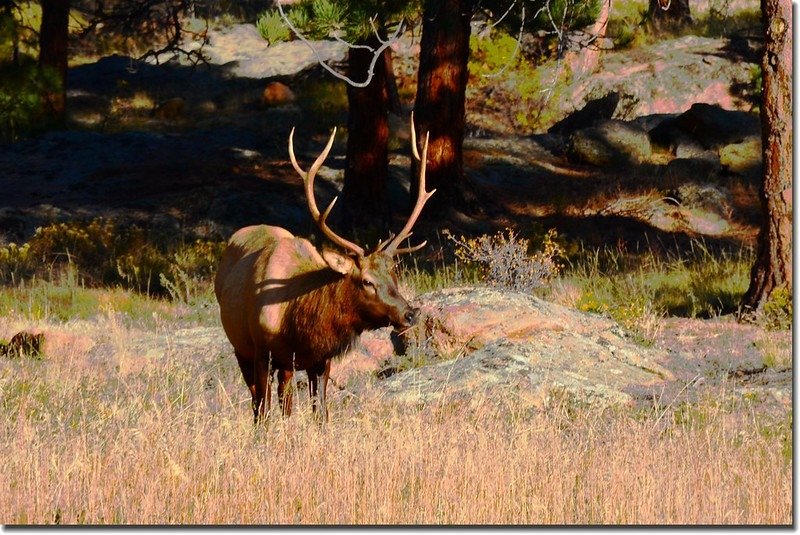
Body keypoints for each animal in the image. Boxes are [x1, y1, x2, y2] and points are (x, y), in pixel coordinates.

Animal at [216, 119, 434, 420]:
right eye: (366, 281)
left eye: (394, 275)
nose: (410, 313)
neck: (296, 326)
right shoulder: (261, 353)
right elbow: (263, 412)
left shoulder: (320, 360)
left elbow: (321, 413)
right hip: (241, 348)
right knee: (257, 403)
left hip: (285, 367)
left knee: (286, 398)